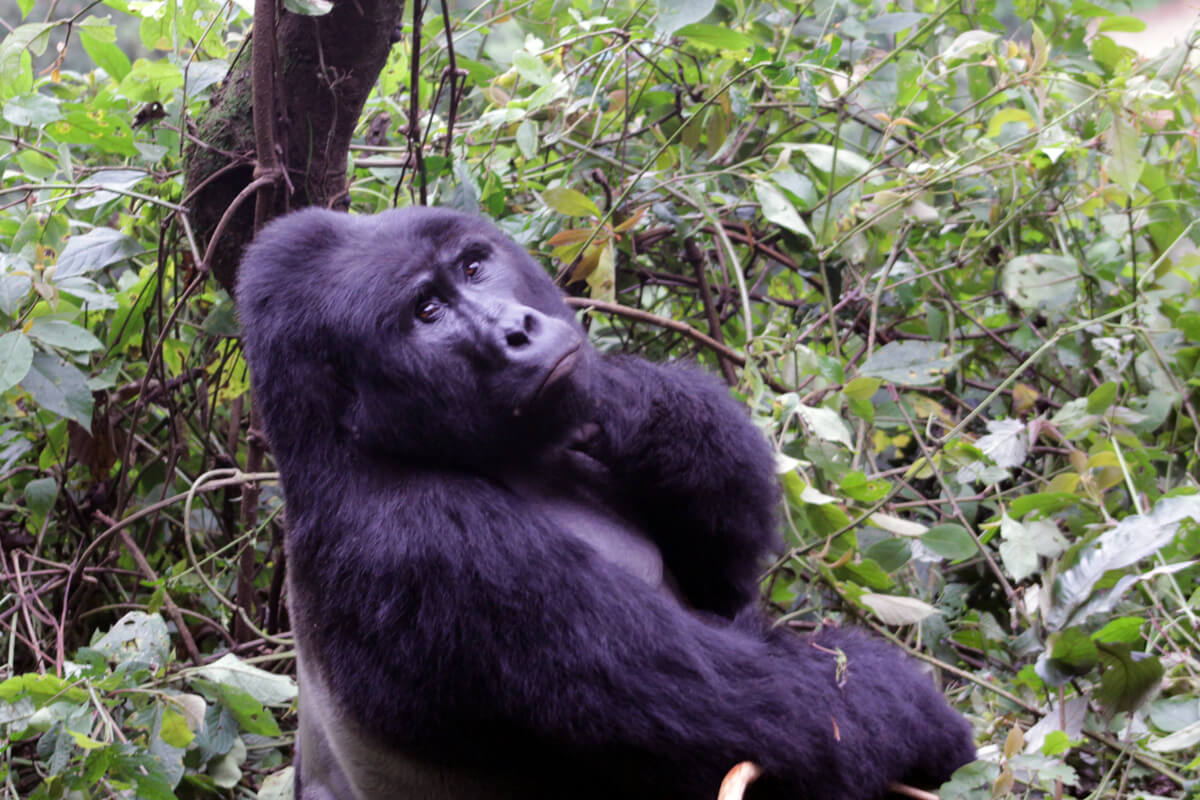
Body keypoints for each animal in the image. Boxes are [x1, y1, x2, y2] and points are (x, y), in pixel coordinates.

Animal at [234, 208, 974, 800]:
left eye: (473, 267)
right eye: (427, 313)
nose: (517, 330)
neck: (353, 447)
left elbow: (725, 584)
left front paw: (619, 398)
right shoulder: (436, 547)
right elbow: (789, 715)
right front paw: (931, 728)